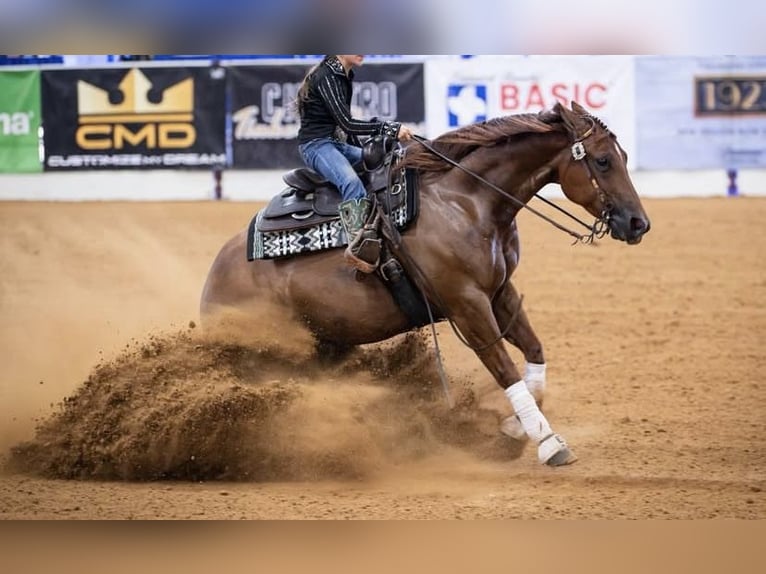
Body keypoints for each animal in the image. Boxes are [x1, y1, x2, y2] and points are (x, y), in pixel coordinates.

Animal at [200, 101, 651, 466]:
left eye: (625, 156)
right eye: (603, 161)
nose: (638, 223)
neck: (469, 203)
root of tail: (215, 276)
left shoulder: (500, 293)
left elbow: (534, 354)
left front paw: (516, 428)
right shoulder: (467, 306)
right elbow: (505, 370)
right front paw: (549, 442)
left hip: (324, 345)